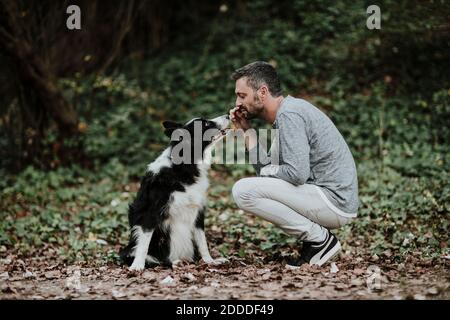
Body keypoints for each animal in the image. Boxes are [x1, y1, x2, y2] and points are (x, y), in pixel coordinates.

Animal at [119, 115, 230, 270]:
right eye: (206, 124)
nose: (228, 115)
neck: (184, 167)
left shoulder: (198, 211)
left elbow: (202, 242)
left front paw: (210, 261)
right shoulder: (151, 213)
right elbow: (144, 245)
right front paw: (137, 265)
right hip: (132, 249)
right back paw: (173, 262)